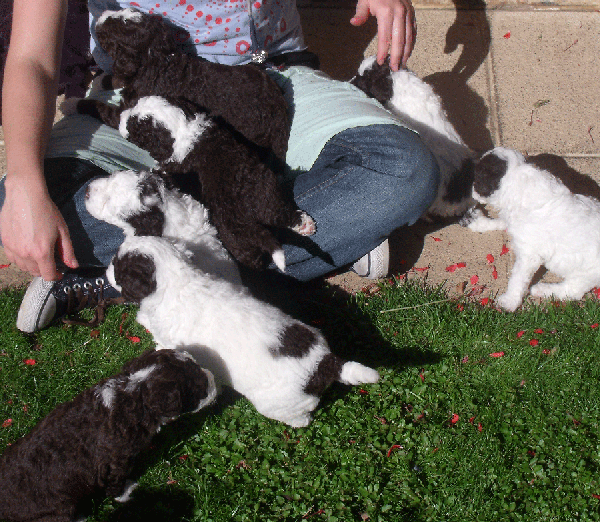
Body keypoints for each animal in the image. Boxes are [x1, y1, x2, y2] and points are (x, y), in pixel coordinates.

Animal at [0, 348, 218, 522]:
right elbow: (116, 482)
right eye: (200, 387)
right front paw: (126, 492)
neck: (134, 392)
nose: (214, 378)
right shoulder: (116, 461)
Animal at [89, 6, 290, 160]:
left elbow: (101, 109)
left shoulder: (129, 107)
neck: (157, 59)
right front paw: (102, 80)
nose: (101, 16)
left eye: (113, 31)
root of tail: (280, 113)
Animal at [468, 146, 600, 308]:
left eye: (477, 177)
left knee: (573, 291)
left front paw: (509, 301)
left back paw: (543, 289)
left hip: (586, 273)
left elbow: (517, 279)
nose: (471, 190)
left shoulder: (529, 255)